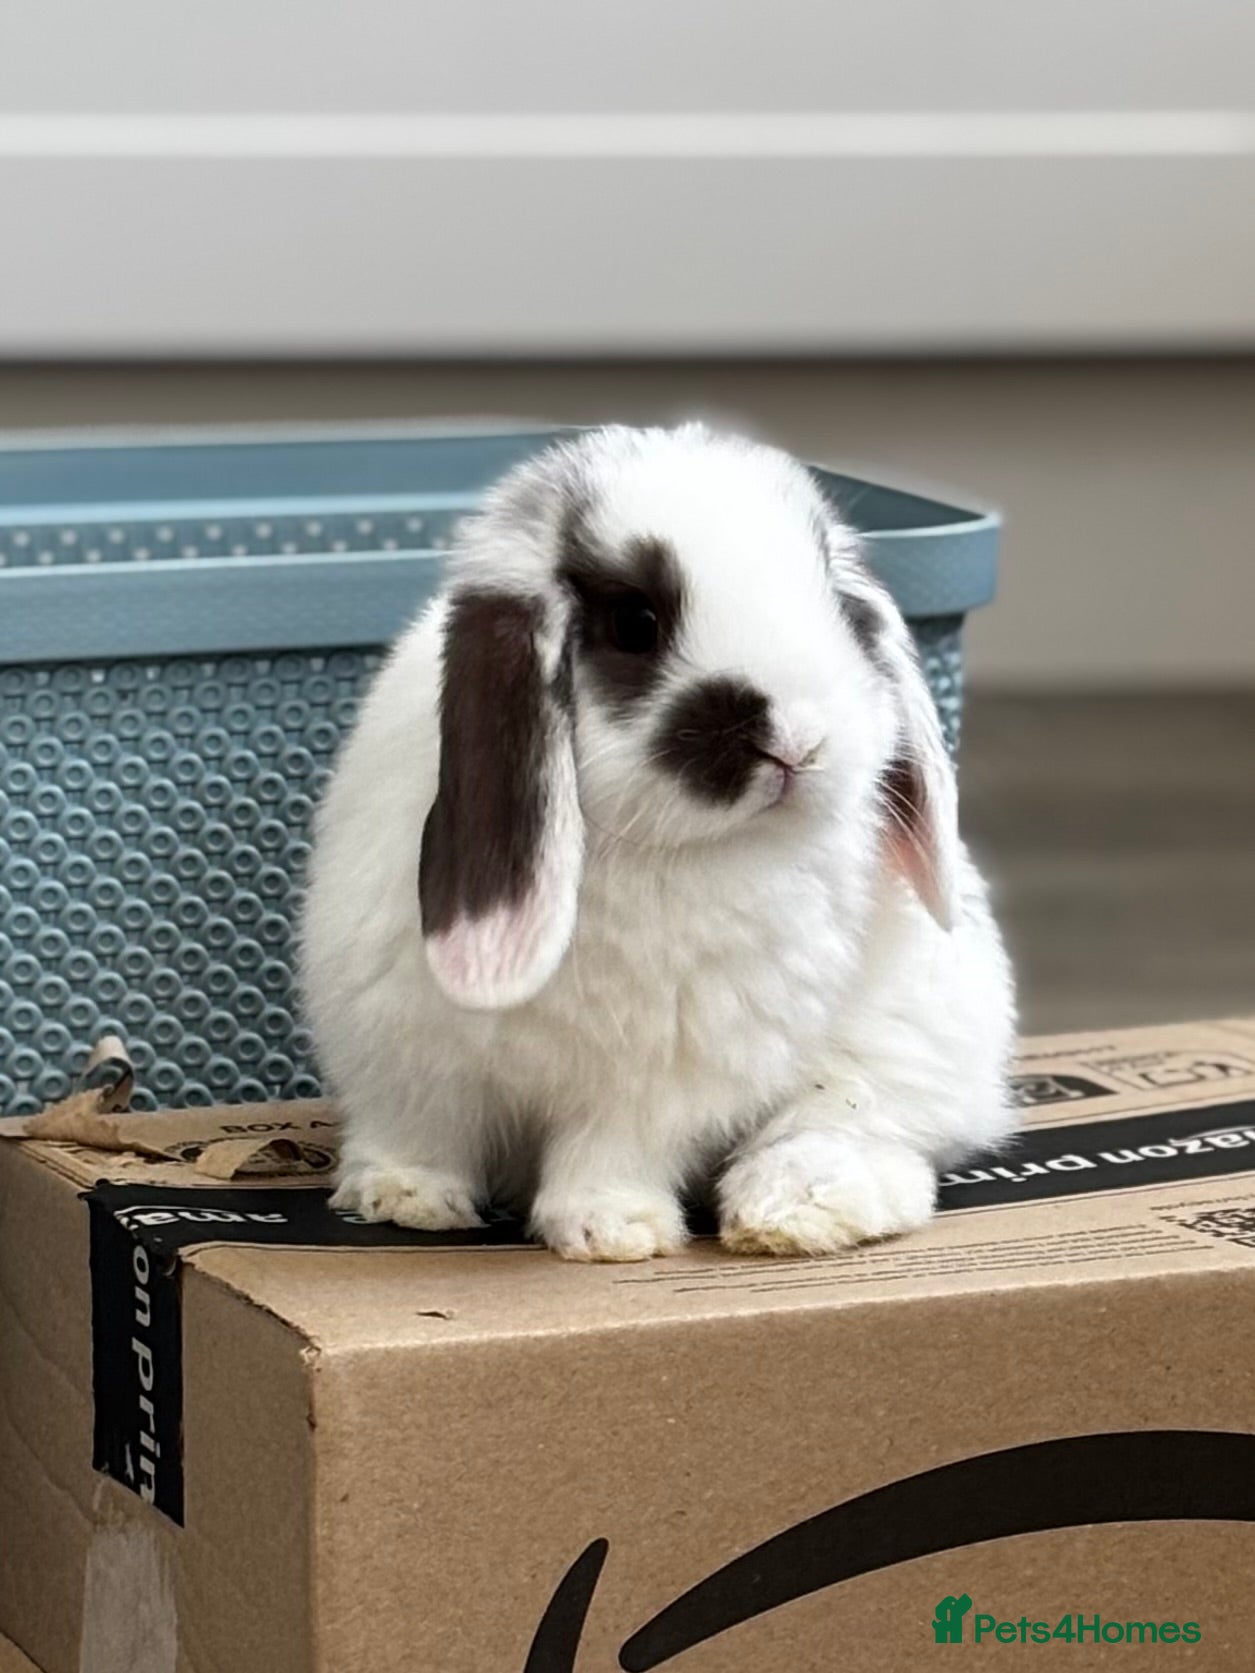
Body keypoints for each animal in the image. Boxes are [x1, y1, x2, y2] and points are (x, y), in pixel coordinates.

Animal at [299, 424, 1016, 1261]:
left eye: (835, 607)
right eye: (636, 624)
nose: (796, 742)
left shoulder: (656, 1076)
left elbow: (613, 1146)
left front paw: (610, 1229)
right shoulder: (408, 1054)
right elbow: (420, 1129)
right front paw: (403, 1197)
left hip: (898, 1050)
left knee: (853, 1131)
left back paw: (793, 1212)